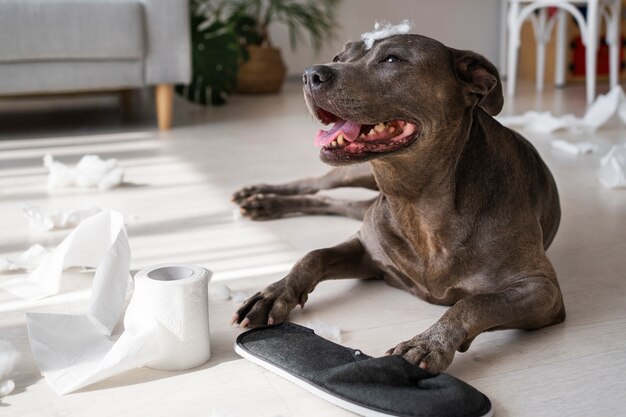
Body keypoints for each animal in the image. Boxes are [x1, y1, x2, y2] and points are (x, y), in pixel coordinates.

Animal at [230, 33, 564, 374]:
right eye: (339, 58)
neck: (415, 202)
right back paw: (260, 196)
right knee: (315, 184)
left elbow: (473, 302)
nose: (311, 74)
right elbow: (314, 256)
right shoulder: (367, 252)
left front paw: (429, 343)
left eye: (392, 59)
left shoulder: (541, 290)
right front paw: (275, 292)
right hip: (354, 173)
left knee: (332, 201)